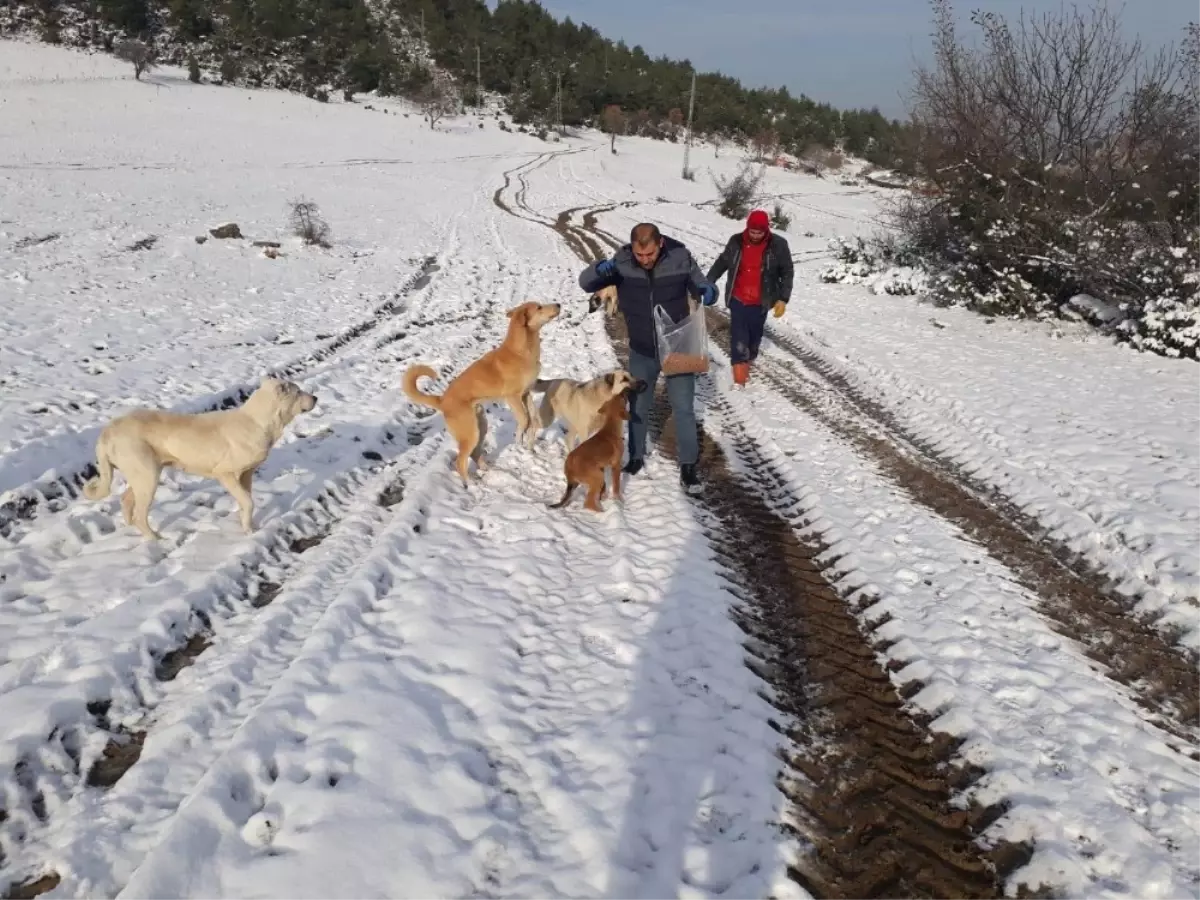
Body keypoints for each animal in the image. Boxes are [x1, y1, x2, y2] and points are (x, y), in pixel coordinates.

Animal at [82, 379, 321, 542]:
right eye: (298, 391)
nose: (316, 398)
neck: (257, 421)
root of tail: (107, 431)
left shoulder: (246, 475)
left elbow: (246, 501)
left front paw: (248, 526)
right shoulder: (225, 474)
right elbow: (248, 501)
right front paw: (249, 531)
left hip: (143, 476)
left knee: (126, 500)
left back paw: (131, 528)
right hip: (148, 477)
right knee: (141, 514)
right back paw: (155, 539)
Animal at [398, 301, 556, 487]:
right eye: (539, 307)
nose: (559, 305)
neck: (520, 351)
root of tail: (442, 400)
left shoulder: (526, 394)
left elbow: (532, 416)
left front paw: (530, 438)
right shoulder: (512, 397)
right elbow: (524, 420)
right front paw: (519, 440)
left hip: (481, 426)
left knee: (474, 454)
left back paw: (486, 469)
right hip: (470, 433)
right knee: (460, 461)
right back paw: (470, 483)